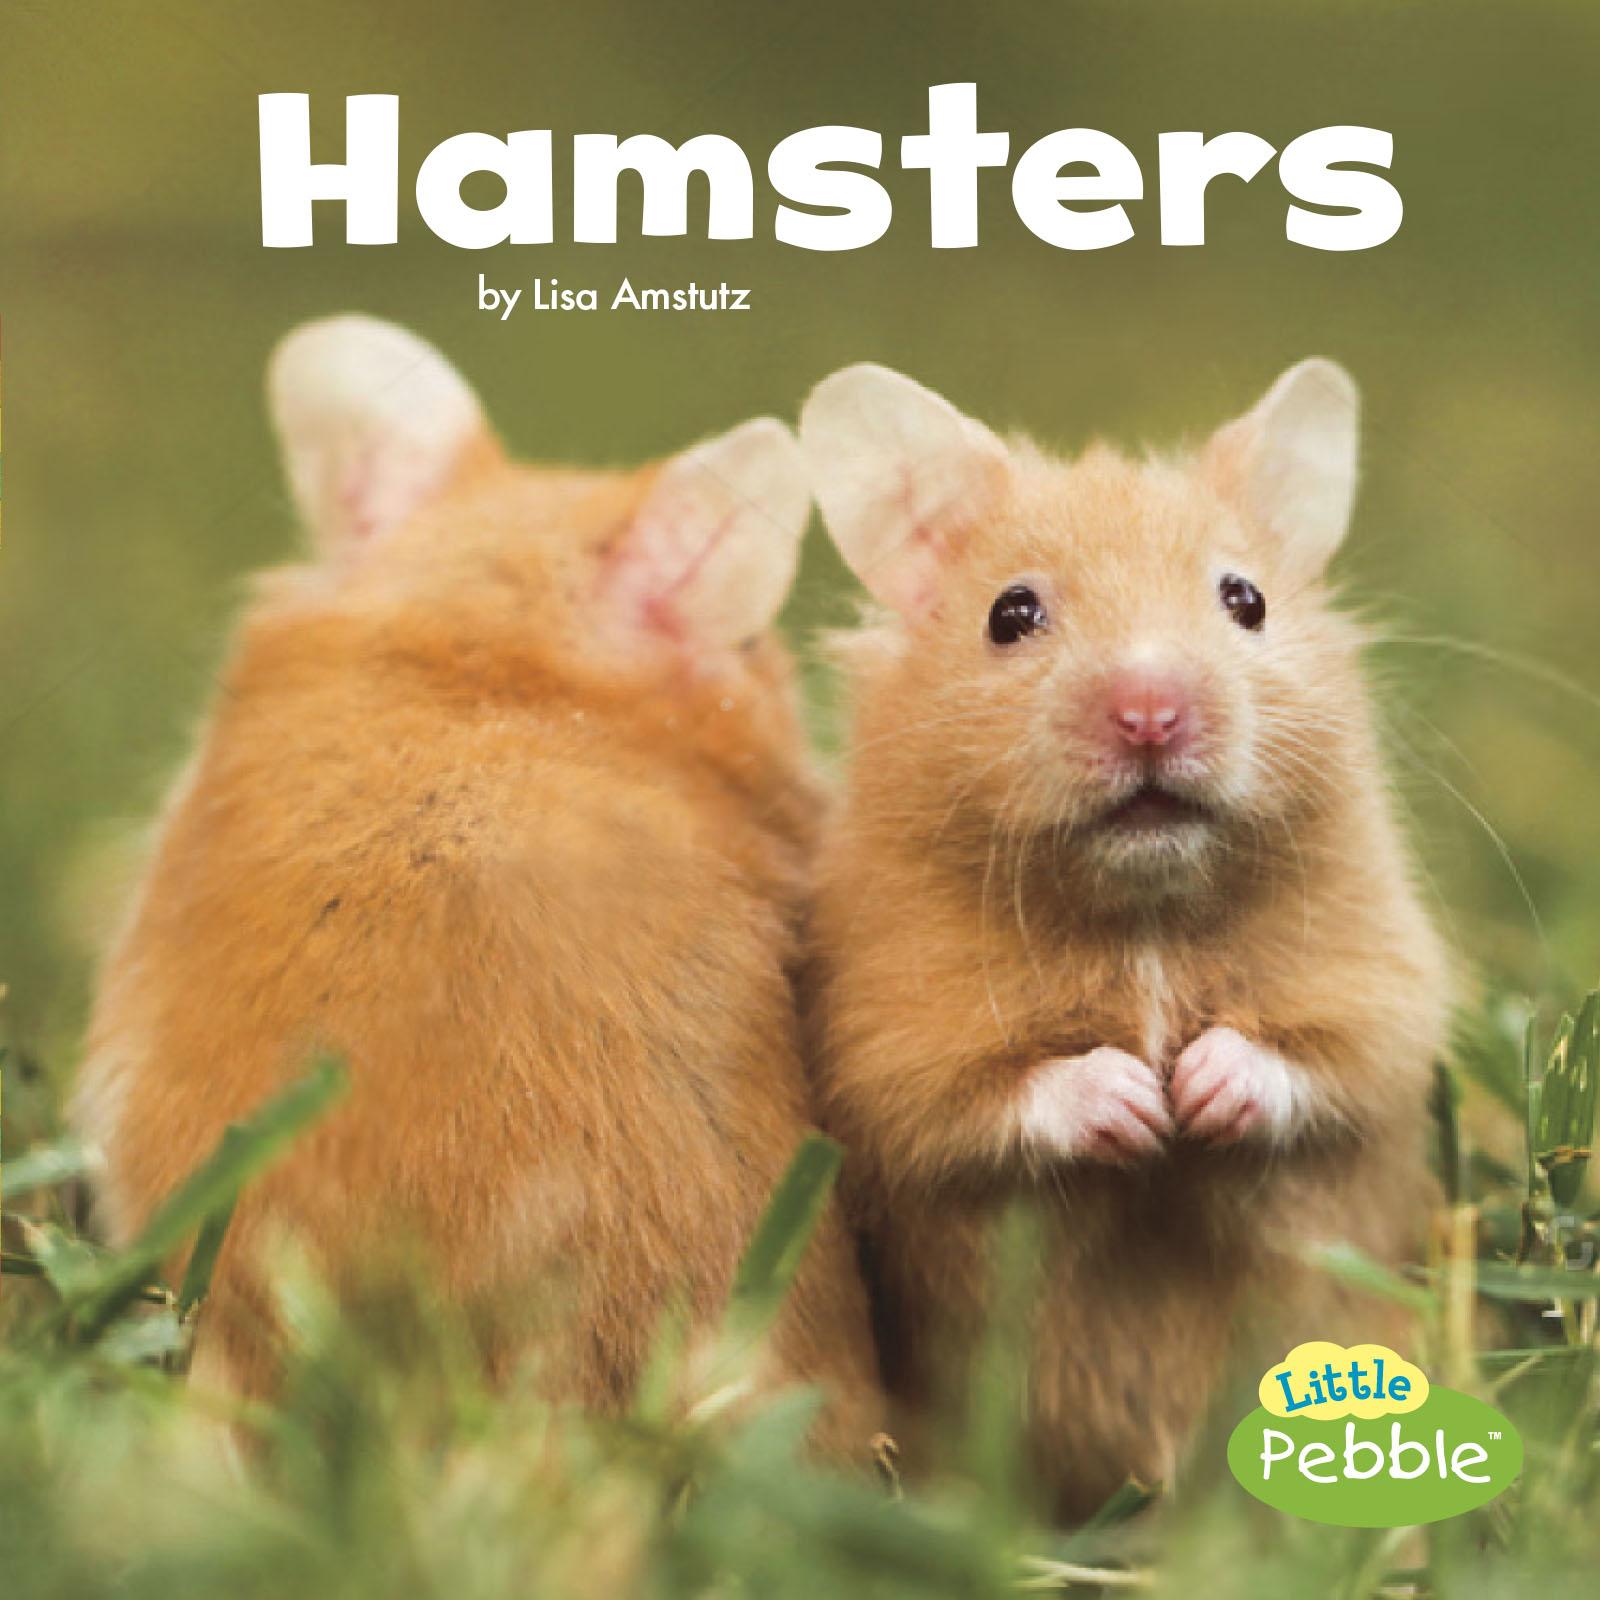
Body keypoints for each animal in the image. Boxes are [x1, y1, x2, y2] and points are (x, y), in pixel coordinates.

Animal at [797, 360, 1453, 1517]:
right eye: (1010, 613)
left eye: (1246, 600)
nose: (1151, 713)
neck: (1143, 912)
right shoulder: (885, 1041)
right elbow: (988, 1099)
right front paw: (1139, 1105)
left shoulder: (1379, 981)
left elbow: (1324, 1062)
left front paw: (1198, 1090)